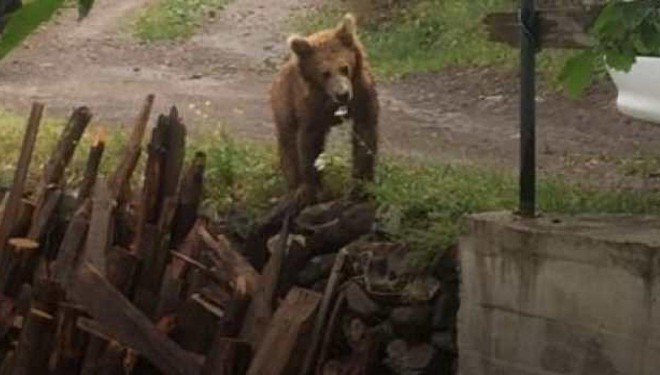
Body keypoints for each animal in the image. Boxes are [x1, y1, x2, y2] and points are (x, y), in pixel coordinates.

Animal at [270, 13, 378, 207]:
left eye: (344, 67)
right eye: (324, 73)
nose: (342, 94)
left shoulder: (362, 95)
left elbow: (365, 136)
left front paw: (362, 185)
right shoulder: (310, 108)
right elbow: (308, 143)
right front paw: (310, 190)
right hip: (283, 100)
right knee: (288, 141)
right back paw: (294, 186)